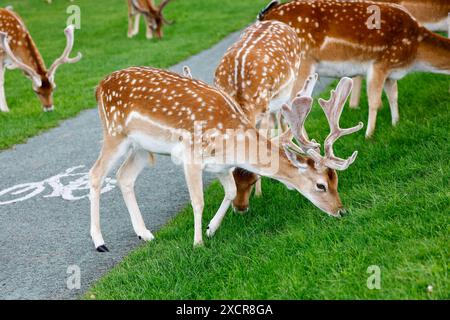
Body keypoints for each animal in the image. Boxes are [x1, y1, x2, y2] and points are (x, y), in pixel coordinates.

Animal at [89, 67, 364, 252]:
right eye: (321, 185)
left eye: (337, 181)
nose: (341, 211)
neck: (234, 143)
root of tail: (99, 86)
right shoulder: (191, 155)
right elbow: (198, 201)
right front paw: (198, 242)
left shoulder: (221, 165)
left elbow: (231, 192)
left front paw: (211, 229)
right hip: (114, 133)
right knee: (96, 174)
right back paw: (100, 242)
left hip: (140, 147)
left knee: (124, 176)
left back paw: (144, 234)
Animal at [215, 19, 306, 210]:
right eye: (232, 181)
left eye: (254, 179)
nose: (240, 208)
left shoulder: (263, 110)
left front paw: (259, 194)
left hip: (289, 85)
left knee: (282, 119)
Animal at [258, 0, 450, 138]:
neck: (414, 51)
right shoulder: (380, 63)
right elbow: (374, 101)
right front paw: (369, 135)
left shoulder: (391, 72)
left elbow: (393, 95)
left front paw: (396, 123)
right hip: (300, 68)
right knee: (288, 107)